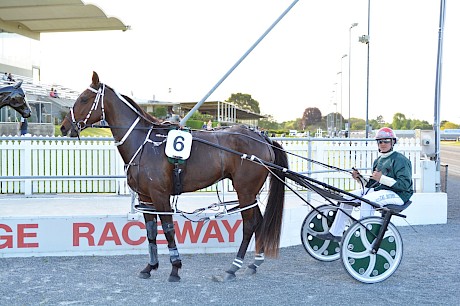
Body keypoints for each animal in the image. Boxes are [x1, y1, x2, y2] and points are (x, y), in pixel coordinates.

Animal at [61, 71, 288, 282]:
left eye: (83, 98)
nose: (64, 126)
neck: (144, 142)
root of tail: (262, 136)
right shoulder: (146, 198)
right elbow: (151, 232)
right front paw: (150, 267)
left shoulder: (160, 195)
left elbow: (168, 229)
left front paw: (175, 268)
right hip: (249, 193)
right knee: (258, 221)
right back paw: (254, 263)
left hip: (245, 191)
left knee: (249, 224)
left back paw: (233, 267)